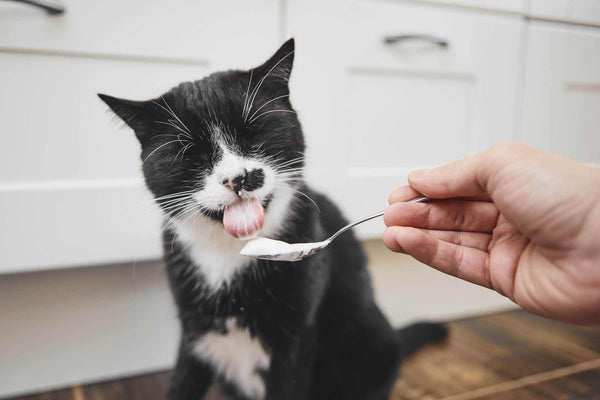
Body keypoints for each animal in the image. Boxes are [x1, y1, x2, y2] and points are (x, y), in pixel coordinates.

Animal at [98, 38, 446, 400]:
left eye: (254, 133)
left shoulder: (295, 339)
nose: (238, 177)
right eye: (191, 153)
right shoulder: (193, 330)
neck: (232, 252)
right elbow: (182, 382)